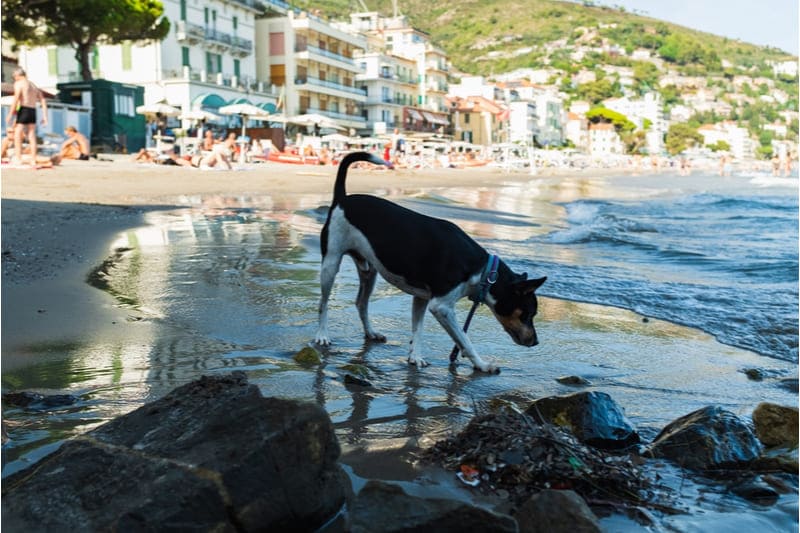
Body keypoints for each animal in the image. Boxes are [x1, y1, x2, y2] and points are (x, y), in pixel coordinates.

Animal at [316, 152, 548, 372]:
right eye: (529, 314)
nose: (536, 342)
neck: (483, 272)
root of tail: (342, 200)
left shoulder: (421, 298)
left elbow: (417, 329)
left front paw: (415, 357)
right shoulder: (441, 307)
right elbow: (464, 339)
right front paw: (481, 365)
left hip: (369, 271)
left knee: (361, 303)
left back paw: (371, 332)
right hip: (330, 264)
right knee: (323, 304)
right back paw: (322, 335)